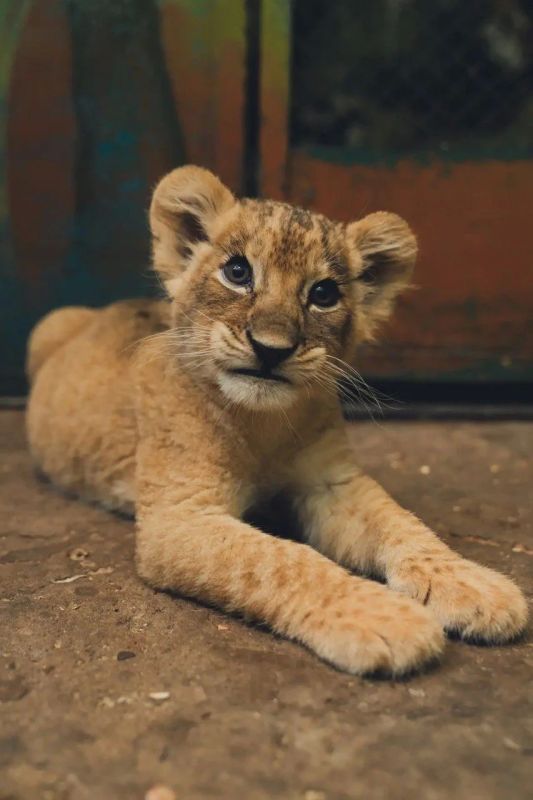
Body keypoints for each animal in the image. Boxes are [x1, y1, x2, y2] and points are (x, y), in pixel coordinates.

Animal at [26, 166, 527, 676]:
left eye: (324, 294)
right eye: (238, 272)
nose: (271, 348)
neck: (260, 423)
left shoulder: (333, 484)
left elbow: (401, 522)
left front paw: (475, 585)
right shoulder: (180, 516)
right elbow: (280, 560)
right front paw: (384, 617)